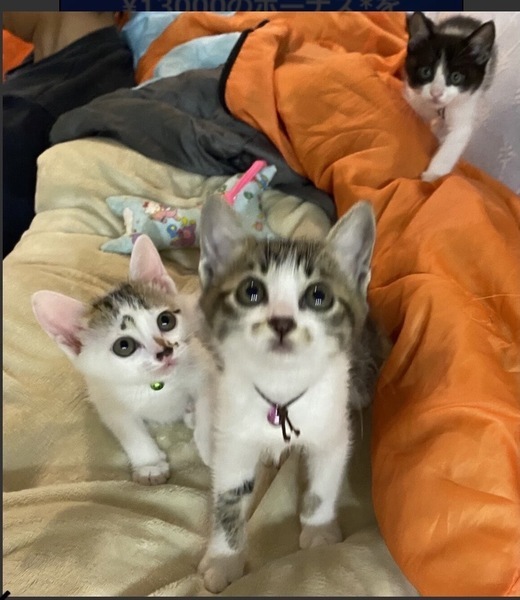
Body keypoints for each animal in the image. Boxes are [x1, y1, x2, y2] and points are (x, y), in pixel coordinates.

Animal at [32, 234, 213, 485]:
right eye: (124, 346)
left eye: (165, 320)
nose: (165, 351)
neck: (157, 386)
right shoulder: (107, 399)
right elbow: (130, 432)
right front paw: (149, 465)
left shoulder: (204, 367)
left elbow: (208, 403)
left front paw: (211, 444)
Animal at [195, 195, 389, 593]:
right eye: (250, 291)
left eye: (319, 296)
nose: (282, 322)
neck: (281, 388)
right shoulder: (234, 441)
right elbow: (228, 498)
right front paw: (224, 559)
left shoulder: (333, 431)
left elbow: (324, 482)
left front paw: (319, 530)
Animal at [404, 12, 496, 182]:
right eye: (425, 71)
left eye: (456, 77)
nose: (436, 93)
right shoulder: (416, 99)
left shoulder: (465, 105)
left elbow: (455, 141)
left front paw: (433, 174)